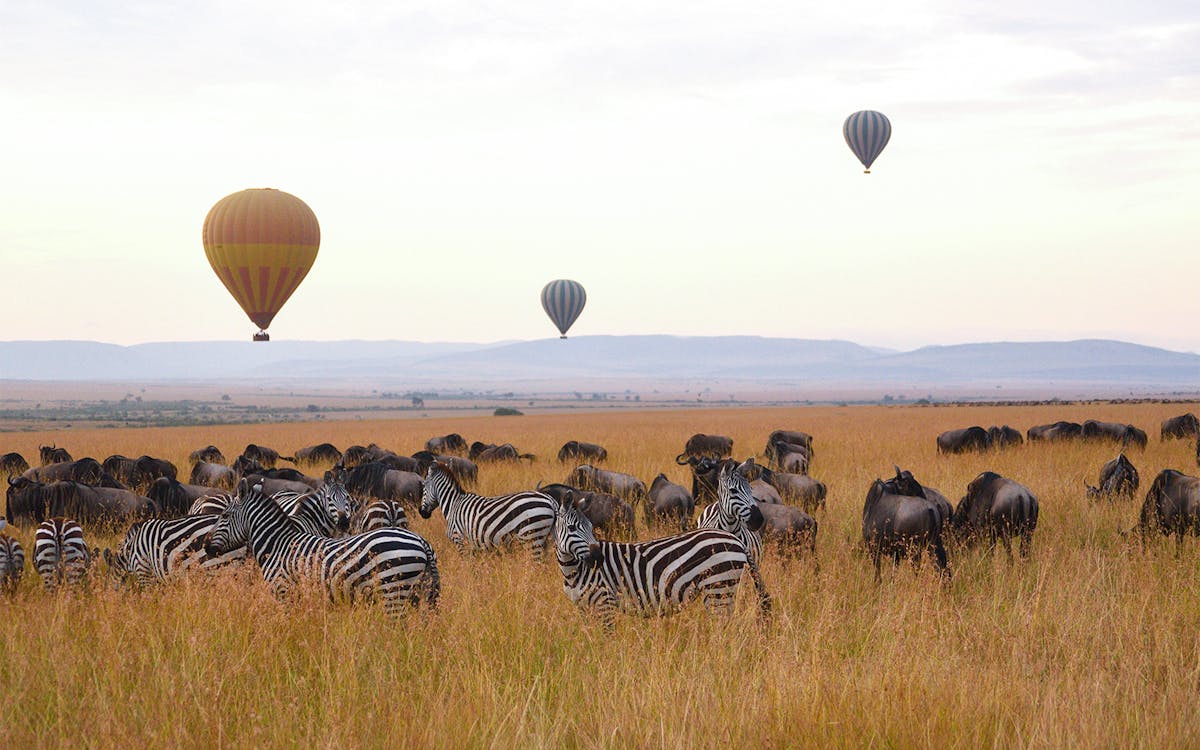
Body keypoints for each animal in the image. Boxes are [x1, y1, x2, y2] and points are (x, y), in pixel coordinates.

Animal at [206, 480, 441, 614]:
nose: (207, 547)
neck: (276, 544)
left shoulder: (284, 593)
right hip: (418, 594)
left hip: (393, 591)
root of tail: (421, 541)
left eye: (224, 516)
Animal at [420, 458, 554, 559]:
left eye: (424, 485)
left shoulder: (460, 541)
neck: (453, 503)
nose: (422, 513)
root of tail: (550, 500)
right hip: (545, 540)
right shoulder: (475, 547)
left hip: (532, 538)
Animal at [552, 489, 768, 628]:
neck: (573, 571)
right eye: (572, 528)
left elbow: (607, 640)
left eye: (590, 527)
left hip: (718, 587)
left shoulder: (606, 604)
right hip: (723, 589)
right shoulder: (583, 608)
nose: (598, 557)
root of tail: (735, 539)